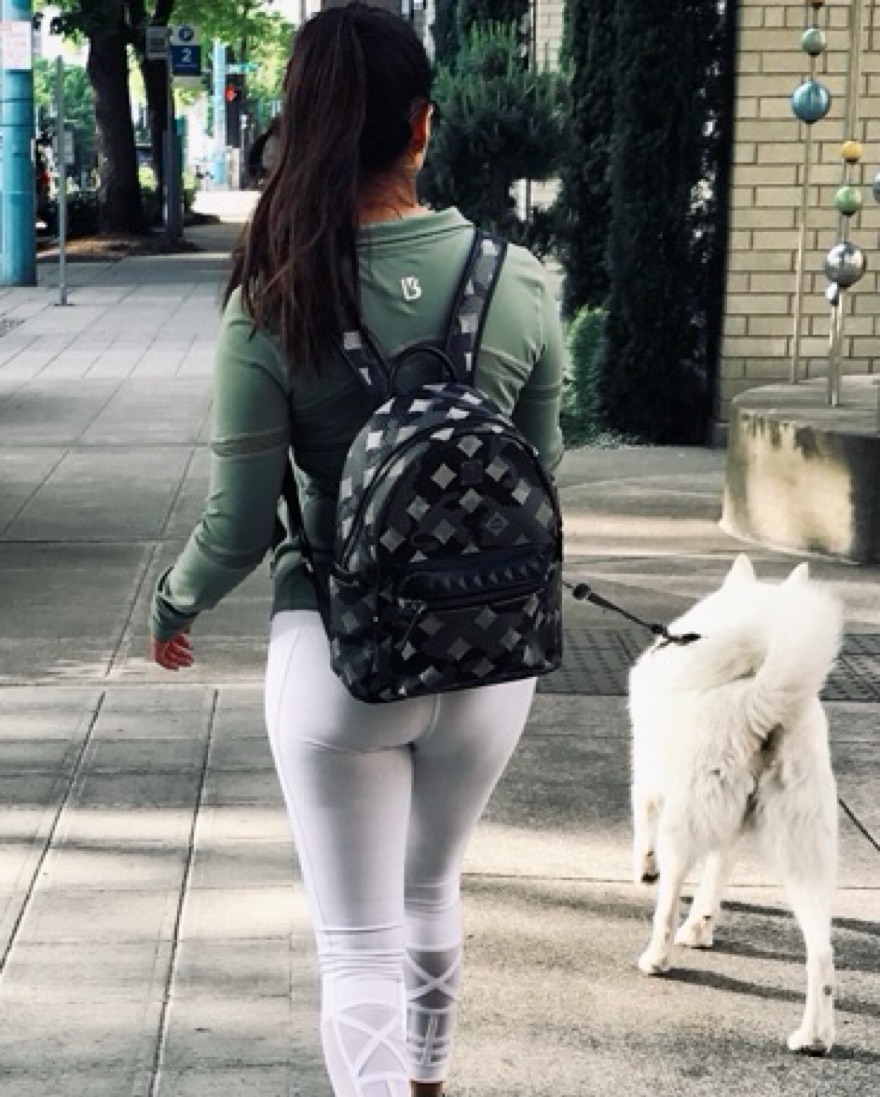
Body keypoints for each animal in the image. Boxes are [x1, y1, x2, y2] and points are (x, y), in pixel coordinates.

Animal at [629, 554, 843, 1054]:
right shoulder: (731, 824)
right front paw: (701, 929)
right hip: (804, 847)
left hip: (686, 818)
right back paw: (814, 1038)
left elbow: (645, 833)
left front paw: (644, 871)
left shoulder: (648, 779)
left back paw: (657, 958)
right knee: (822, 955)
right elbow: (716, 878)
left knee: (668, 899)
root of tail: (761, 698)